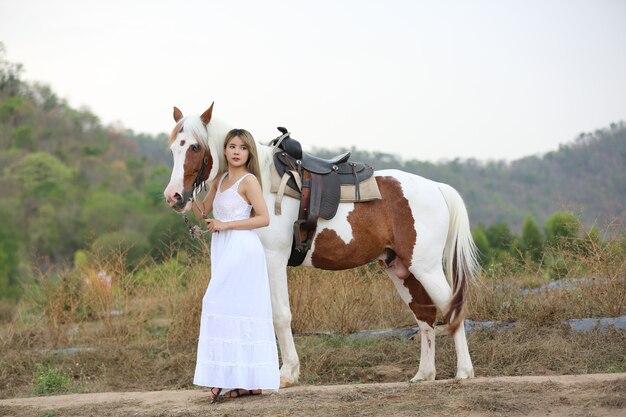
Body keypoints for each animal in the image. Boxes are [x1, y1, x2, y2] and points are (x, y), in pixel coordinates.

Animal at [162, 104, 478, 386]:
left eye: (194, 148)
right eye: (173, 148)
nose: (173, 196)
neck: (263, 183)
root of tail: (436, 187)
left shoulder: (273, 259)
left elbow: (280, 315)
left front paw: (287, 373)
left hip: (425, 267)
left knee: (451, 308)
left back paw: (464, 372)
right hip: (400, 268)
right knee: (424, 316)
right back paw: (424, 374)